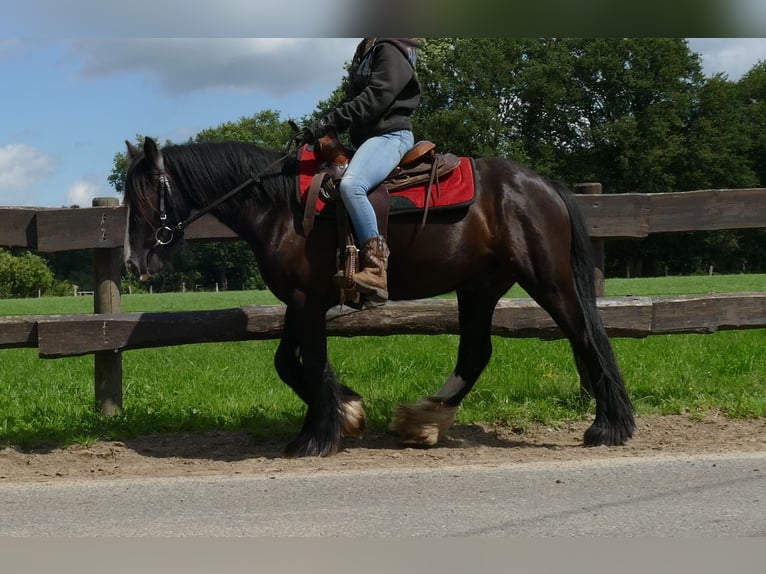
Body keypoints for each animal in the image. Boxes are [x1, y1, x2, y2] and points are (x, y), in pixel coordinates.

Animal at [121, 136, 636, 460]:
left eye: (145, 199)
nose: (132, 262)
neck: (280, 207)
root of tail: (543, 185)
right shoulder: (301, 301)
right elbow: (290, 363)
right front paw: (347, 411)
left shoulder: (306, 301)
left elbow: (310, 361)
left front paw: (316, 438)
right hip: (480, 286)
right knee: (476, 351)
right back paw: (423, 420)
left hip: (547, 280)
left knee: (588, 338)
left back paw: (609, 427)